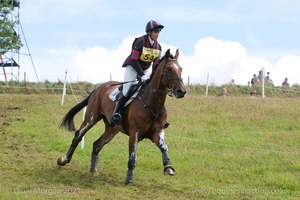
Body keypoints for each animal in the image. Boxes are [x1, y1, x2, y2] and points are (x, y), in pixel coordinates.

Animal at [56, 48, 185, 184]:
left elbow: (164, 147)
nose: (181, 91)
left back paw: (93, 170)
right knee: (78, 136)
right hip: (91, 118)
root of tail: (98, 89)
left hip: (112, 128)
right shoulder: (135, 132)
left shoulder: (157, 132)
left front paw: (168, 167)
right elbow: (132, 155)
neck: (152, 103)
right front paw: (129, 178)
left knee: (97, 144)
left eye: (181, 68)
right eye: (169, 69)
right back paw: (63, 160)